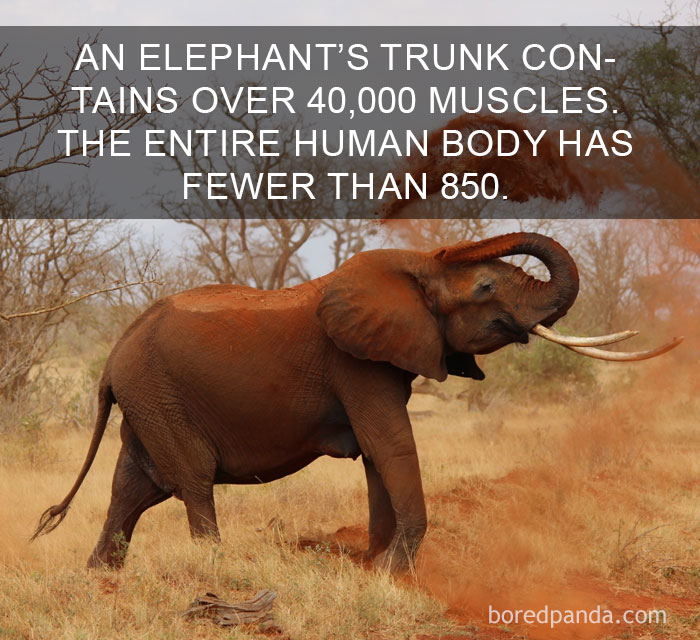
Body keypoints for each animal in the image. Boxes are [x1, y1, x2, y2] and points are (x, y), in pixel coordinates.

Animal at [32, 232, 680, 572]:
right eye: (486, 287)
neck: (415, 267)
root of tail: (113, 356)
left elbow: (378, 455)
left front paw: (375, 566)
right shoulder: (356, 364)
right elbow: (390, 444)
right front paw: (394, 573)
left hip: (148, 399)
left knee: (134, 486)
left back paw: (101, 579)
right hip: (159, 394)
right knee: (189, 479)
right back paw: (215, 569)